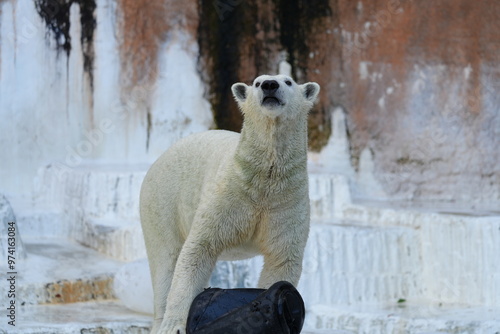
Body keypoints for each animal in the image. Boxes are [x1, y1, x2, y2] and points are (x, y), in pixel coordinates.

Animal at [141, 74, 320, 332]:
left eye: (288, 81)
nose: (270, 85)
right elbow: (199, 248)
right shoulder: (227, 197)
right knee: (166, 259)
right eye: (257, 83)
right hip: (162, 201)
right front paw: (174, 325)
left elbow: (281, 260)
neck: (263, 184)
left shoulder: (286, 204)